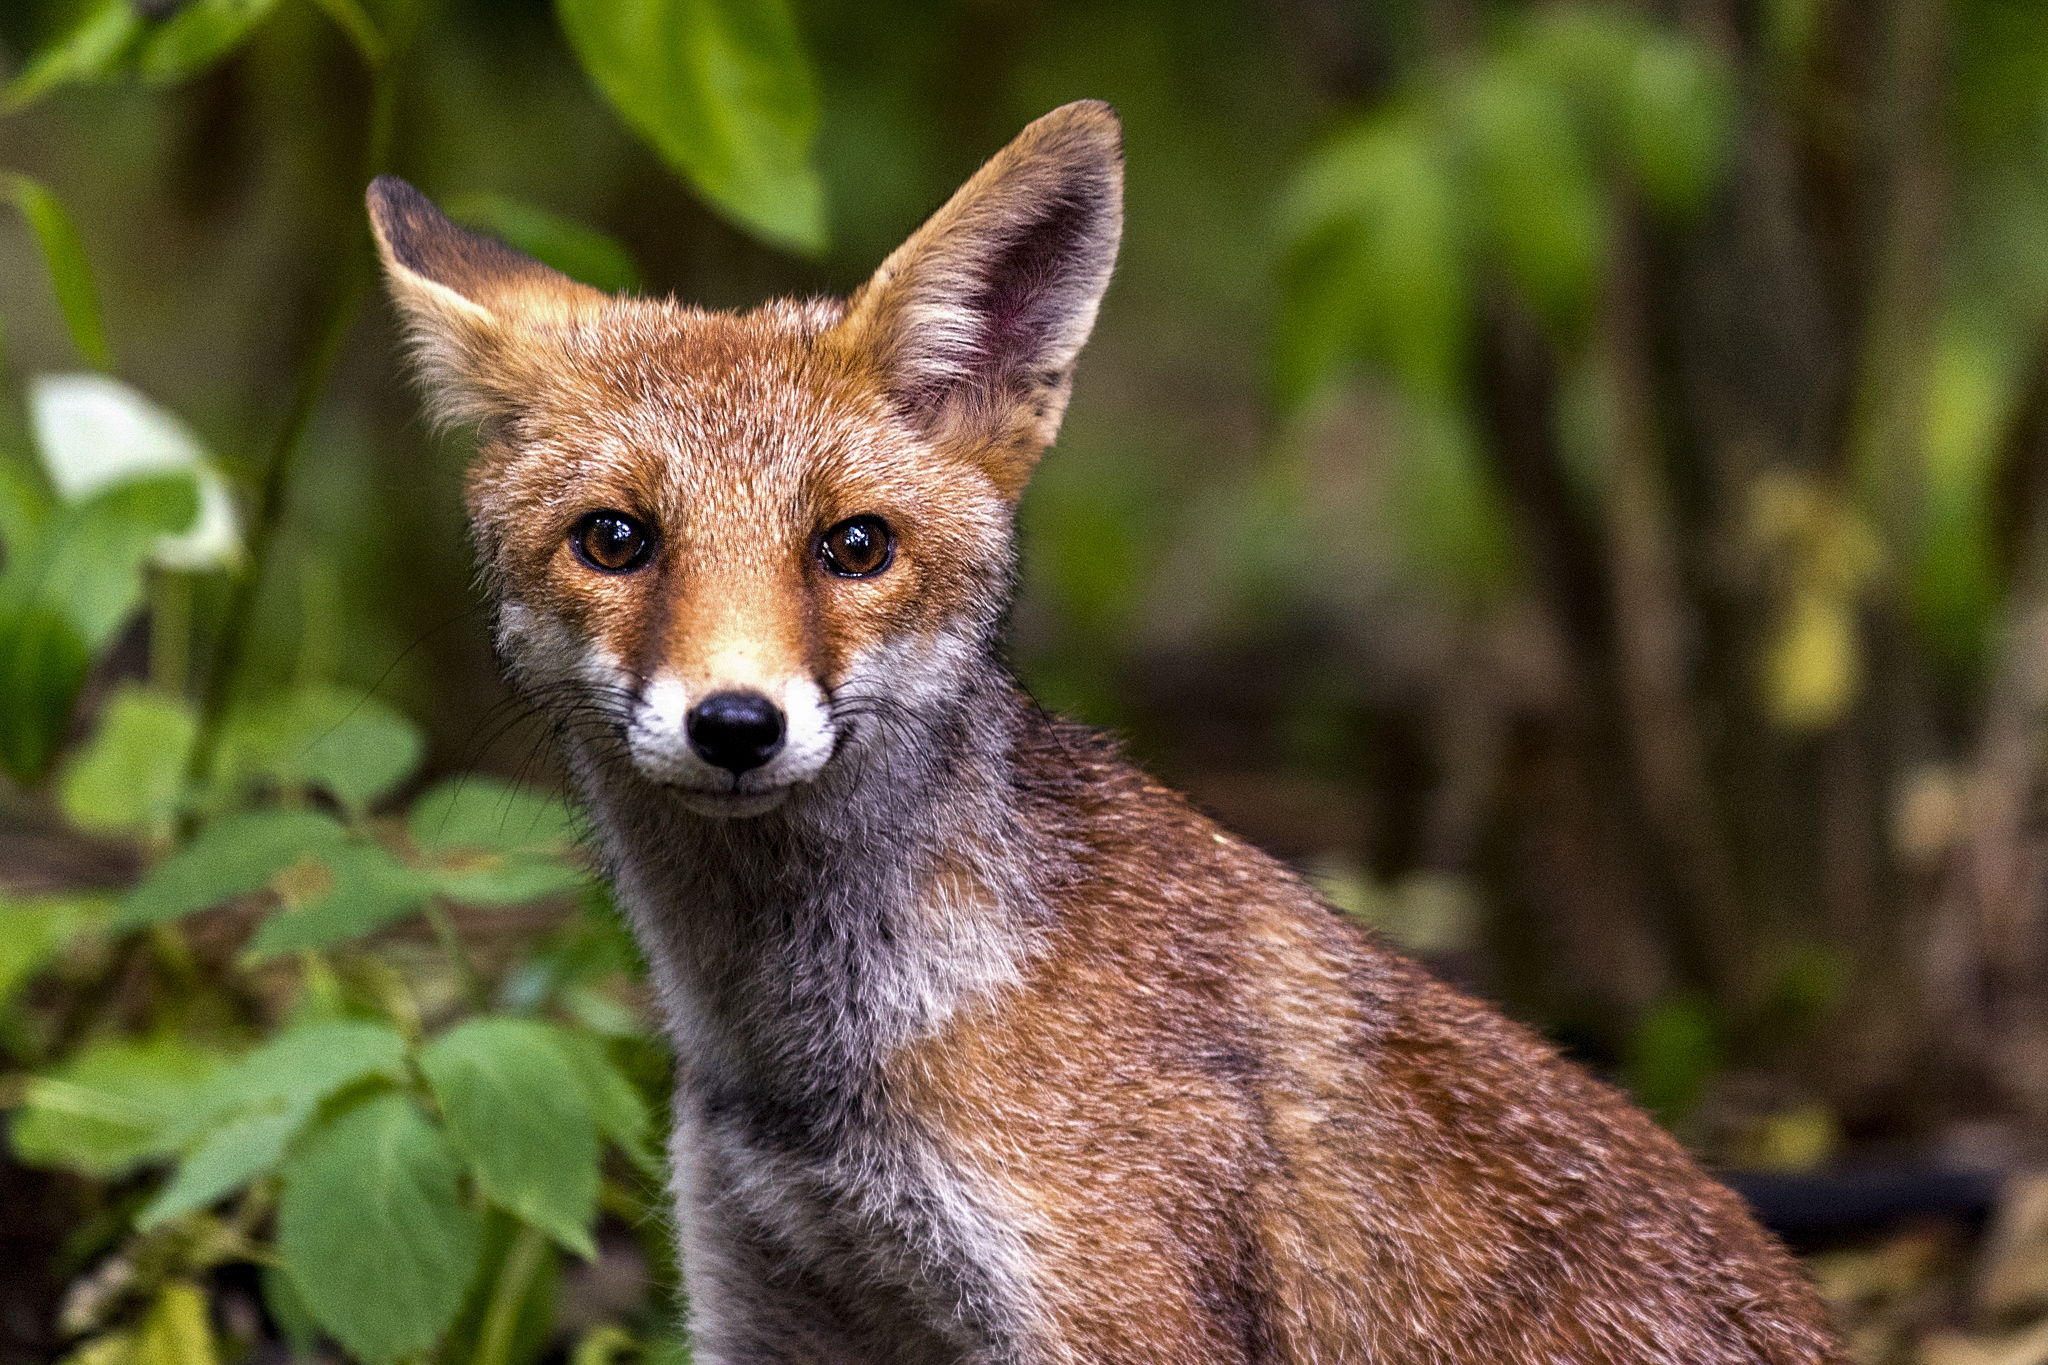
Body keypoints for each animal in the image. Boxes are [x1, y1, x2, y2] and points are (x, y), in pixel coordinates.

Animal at [367, 102, 1845, 1364]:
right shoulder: (770, 1305)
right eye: (616, 539)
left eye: (855, 546)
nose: (737, 723)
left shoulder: (1108, 1309)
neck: (819, 1068)